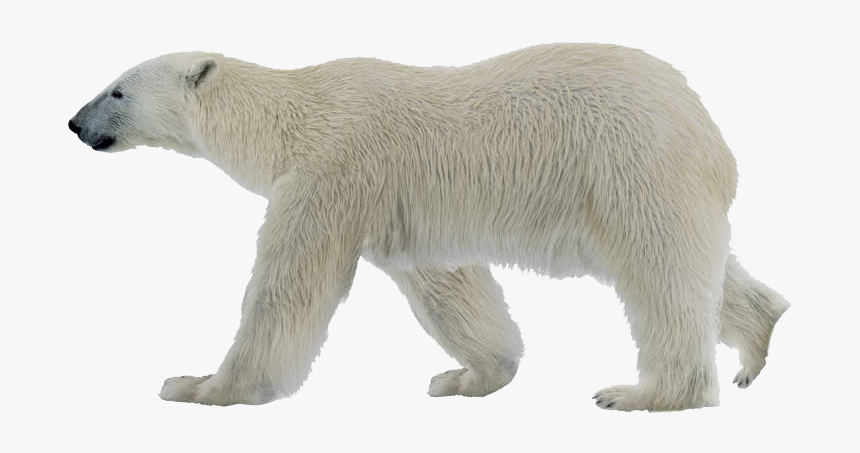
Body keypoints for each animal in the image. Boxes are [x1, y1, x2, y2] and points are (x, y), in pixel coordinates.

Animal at [68, 43, 789, 410]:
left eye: (118, 89)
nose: (74, 123)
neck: (292, 112)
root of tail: (702, 116)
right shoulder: (405, 208)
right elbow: (448, 284)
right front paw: (471, 376)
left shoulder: (332, 170)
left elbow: (288, 286)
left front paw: (200, 386)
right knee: (699, 266)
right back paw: (758, 340)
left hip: (628, 163)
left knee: (660, 272)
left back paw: (645, 393)